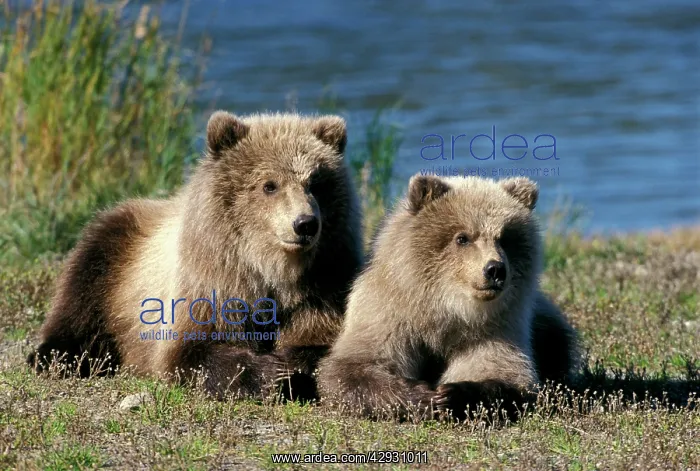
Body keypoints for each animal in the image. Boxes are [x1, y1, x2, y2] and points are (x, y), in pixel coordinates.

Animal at [28, 111, 364, 402]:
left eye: (315, 183)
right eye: (269, 185)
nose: (305, 223)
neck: (269, 269)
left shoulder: (322, 286)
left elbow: (322, 342)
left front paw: (291, 363)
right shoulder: (209, 283)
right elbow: (191, 352)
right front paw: (271, 374)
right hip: (117, 251)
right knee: (82, 290)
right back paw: (57, 355)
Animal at [317, 174, 578, 420]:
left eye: (504, 238)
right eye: (463, 237)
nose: (495, 269)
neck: (447, 308)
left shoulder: (495, 329)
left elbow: (505, 375)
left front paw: (454, 393)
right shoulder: (388, 313)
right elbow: (355, 366)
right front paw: (423, 396)